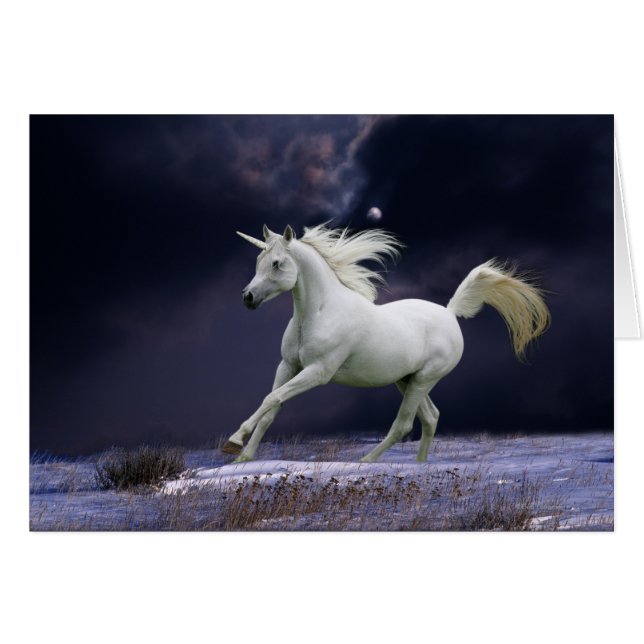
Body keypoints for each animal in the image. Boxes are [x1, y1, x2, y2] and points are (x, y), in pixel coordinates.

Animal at [223, 223, 550, 463]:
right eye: (258, 261)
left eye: (277, 263)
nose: (248, 297)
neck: (319, 313)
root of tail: (449, 312)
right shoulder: (288, 366)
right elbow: (271, 406)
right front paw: (243, 457)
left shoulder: (318, 372)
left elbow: (272, 399)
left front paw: (233, 442)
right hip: (407, 379)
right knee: (431, 417)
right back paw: (419, 466)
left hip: (424, 379)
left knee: (405, 423)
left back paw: (366, 462)